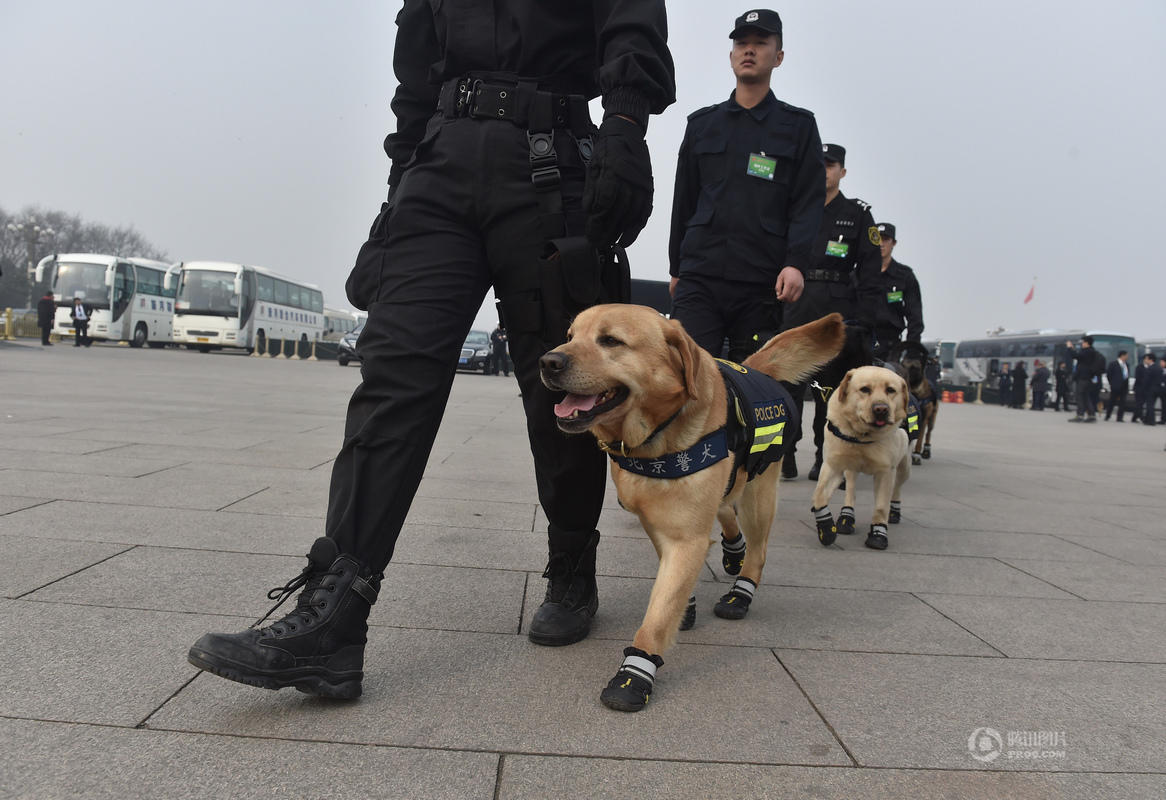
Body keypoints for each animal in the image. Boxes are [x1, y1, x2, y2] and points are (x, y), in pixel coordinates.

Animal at [541, 307, 844, 713]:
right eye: (570, 336)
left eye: (610, 341)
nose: (548, 361)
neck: (656, 439)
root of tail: (756, 369)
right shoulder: (660, 520)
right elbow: (674, 584)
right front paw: (686, 604)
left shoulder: (686, 536)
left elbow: (657, 616)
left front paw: (635, 674)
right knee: (727, 510)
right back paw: (733, 552)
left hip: (759, 492)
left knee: (758, 549)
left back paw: (741, 591)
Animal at [811, 368, 909, 550]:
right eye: (865, 389)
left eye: (890, 390)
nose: (881, 409)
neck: (862, 437)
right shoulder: (832, 465)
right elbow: (818, 495)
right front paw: (826, 528)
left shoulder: (886, 472)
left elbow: (881, 506)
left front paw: (878, 534)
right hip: (850, 469)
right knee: (850, 489)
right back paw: (847, 517)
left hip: (904, 468)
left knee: (897, 487)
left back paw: (894, 511)